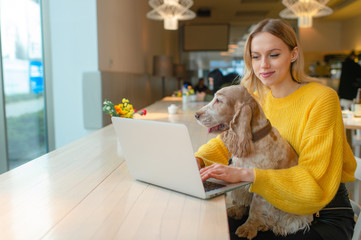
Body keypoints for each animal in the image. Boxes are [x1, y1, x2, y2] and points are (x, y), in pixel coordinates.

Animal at [194, 85, 312, 239]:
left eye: (218, 100)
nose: (196, 115)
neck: (253, 138)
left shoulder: (257, 181)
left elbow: (256, 208)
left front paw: (249, 227)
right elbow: (244, 198)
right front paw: (238, 210)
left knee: (292, 221)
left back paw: (274, 226)